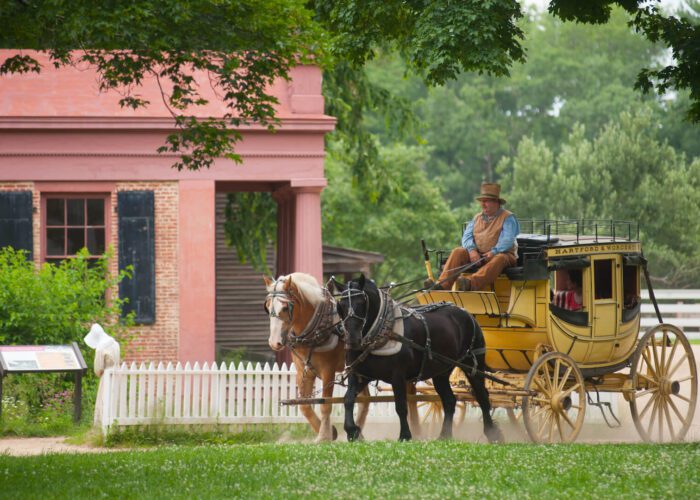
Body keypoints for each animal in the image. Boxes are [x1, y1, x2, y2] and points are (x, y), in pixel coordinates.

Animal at [264, 272, 371, 442]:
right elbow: (304, 405)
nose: (274, 342)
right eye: (267, 307)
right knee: (364, 399)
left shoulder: (328, 371)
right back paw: (358, 433)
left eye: (286, 307)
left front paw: (323, 436)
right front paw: (330, 431)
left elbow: (325, 404)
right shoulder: (304, 371)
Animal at [332, 274, 503, 443]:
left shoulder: (398, 375)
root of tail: (465, 312)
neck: (381, 332)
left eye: (362, 302)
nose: (352, 340)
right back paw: (444, 436)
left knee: (482, 396)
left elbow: (401, 405)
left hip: (473, 364)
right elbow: (348, 399)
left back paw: (492, 433)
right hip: (441, 371)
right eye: (341, 305)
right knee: (449, 400)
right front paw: (352, 431)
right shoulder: (359, 374)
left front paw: (405, 435)